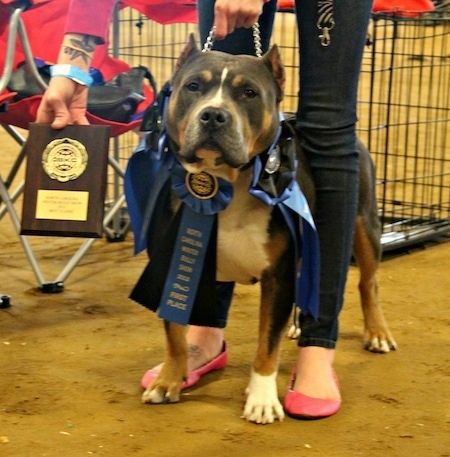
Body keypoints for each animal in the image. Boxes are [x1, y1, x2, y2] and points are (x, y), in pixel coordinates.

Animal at [138, 35, 398, 424]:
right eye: (193, 86)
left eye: (249, 93)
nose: (213, 114)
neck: (226, 181)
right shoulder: (173, 260)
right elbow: (174, 331)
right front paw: (169, 379)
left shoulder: (278, 276)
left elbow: (266, 344)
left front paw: (261, 398)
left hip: (363, 225)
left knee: (369, 282)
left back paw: (377, 332)